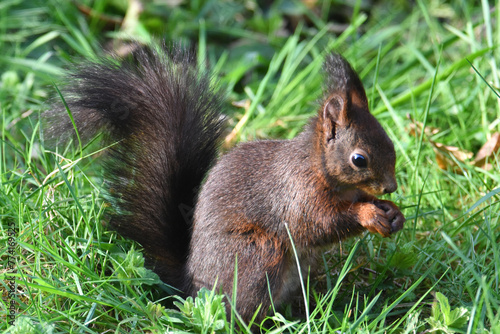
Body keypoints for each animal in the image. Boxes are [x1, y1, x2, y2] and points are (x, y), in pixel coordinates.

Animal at [43, 43, 406, 324]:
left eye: (390, 141)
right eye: (359, 159)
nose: (390, 187)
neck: (317, 166)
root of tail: (191, 287)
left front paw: (393, 212)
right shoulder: (295, 194)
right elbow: (316, 224)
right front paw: (368, 215)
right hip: (255, 255)